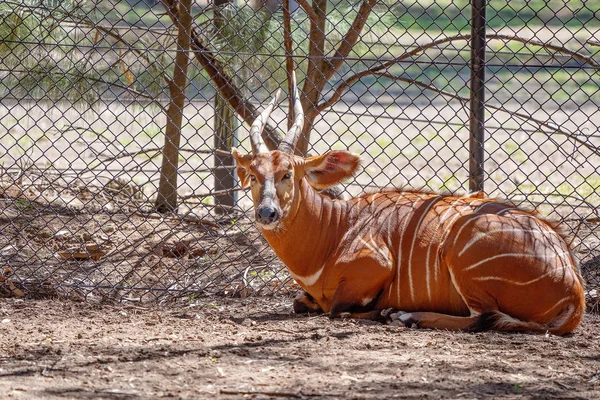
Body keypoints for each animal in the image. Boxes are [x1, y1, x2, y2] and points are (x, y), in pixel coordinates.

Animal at [233, 74, 584, 334]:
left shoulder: (377, 265)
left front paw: (382, 312)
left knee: (482, 317)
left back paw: (407, 316)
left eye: (287, 173)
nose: (267, 212)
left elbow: (336, 310)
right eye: (252, 174)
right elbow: (301, 302)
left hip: (463, 262)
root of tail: (575, 292)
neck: (334, 229)